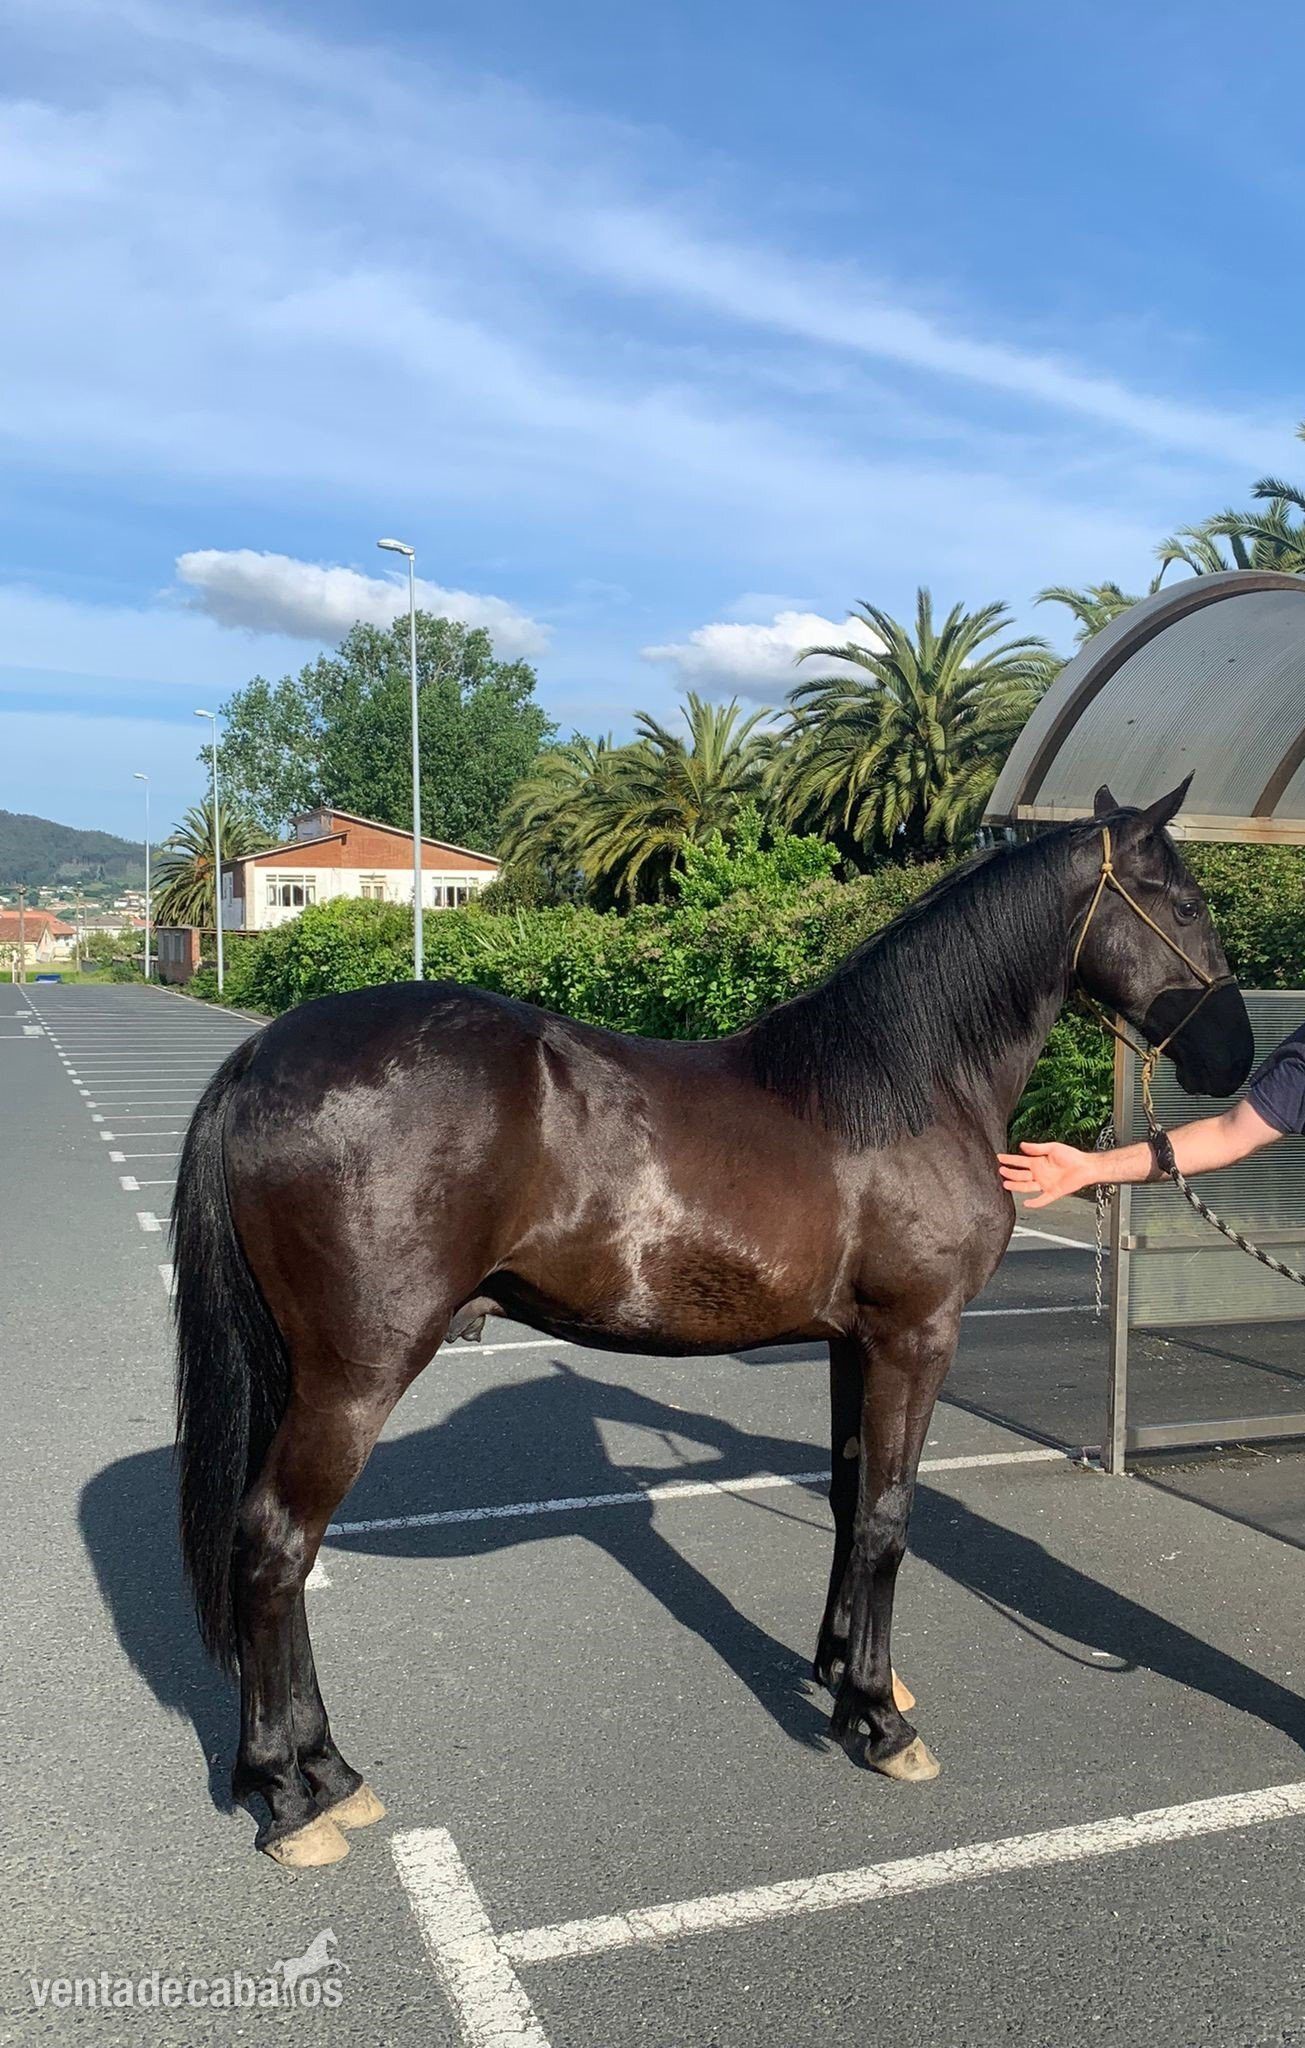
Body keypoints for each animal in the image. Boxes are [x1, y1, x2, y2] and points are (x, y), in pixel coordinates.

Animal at [172, 779, 1253, 1866]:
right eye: (1187, 901)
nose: (1235, 1055)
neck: (908, 1091)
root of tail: (262, 1056)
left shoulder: (853, 1345)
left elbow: (849, 1500)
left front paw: (842, 1677)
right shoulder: (915, 1337)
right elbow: (891, 1517)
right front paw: (880, 1722)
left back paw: (325, 1773)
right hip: (355, 1378)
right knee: (275, 1545)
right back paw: (293, 1794)